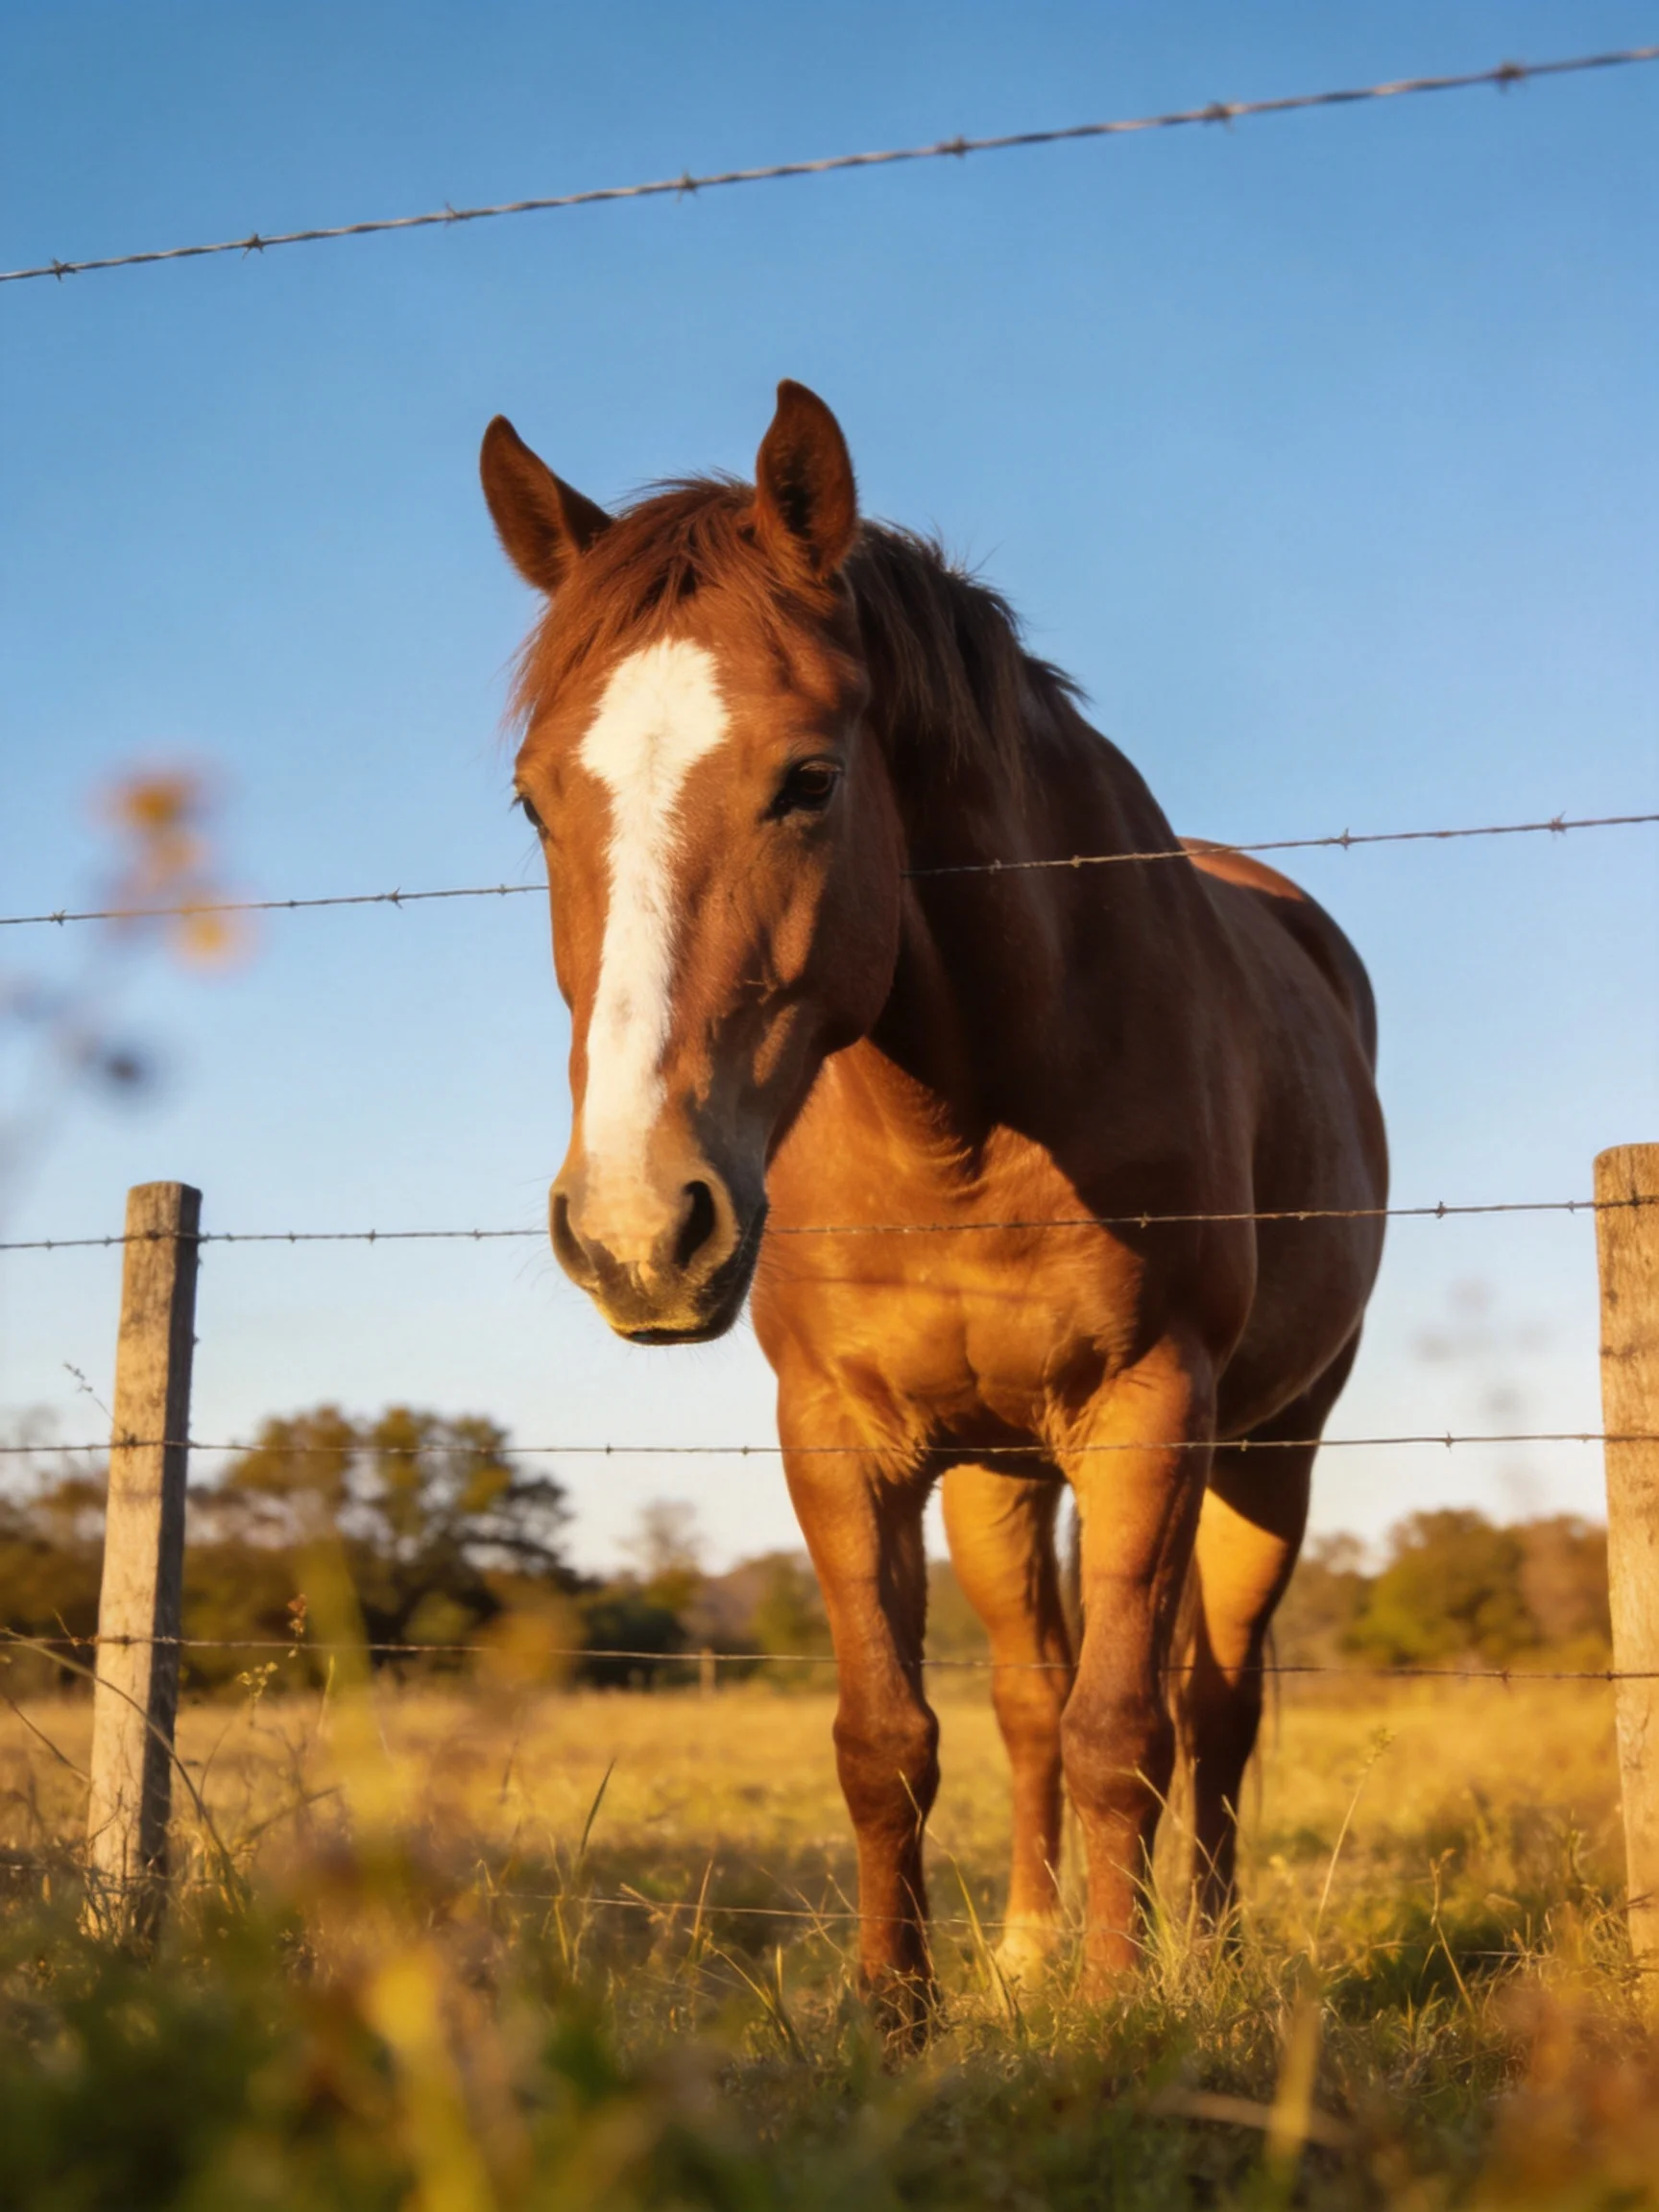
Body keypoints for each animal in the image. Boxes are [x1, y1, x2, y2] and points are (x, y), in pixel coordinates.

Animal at [481, 380, 1388, 2022]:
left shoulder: (1155, 1415)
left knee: (1213, 1704)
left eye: (810, 781)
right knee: (1034, 1694)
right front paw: (898, 2022)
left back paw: (1206, 1950)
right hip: (1001, 1470)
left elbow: (1125, 1734)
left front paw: (1116, 2022)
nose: (641, 1230)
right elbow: (891, 1742)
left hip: (1268, 1448)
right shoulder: (845, 1436)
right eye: (534, 802)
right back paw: (1028, 1948)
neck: (959, 1118)